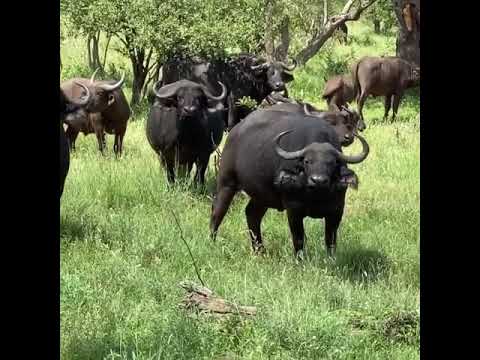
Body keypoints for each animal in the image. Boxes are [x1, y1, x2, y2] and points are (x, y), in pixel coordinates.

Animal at [161, 54, 296, 130]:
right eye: (270, 72)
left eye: (281, 73)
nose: (279, 85)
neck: (249, 75)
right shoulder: (233, 99)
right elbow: (231, 121)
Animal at [208, 108, 370, 258]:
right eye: (307, 161)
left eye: (332, 162)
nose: (318, 180)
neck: (315, 195)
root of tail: (234, 132)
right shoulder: (293, 210)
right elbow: (298, 239)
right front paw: (300, 260)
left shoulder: (336, 210)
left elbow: (330, 241)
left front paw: (331, 259)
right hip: (226, 182)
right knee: (217, 212)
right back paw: (212, 242)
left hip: (262, 196)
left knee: (252, 214)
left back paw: (259, 250)